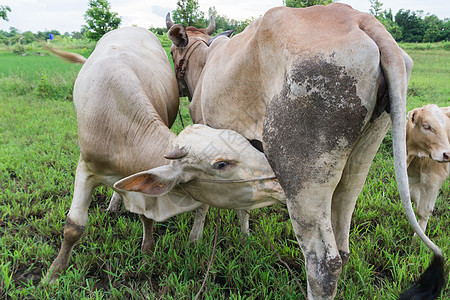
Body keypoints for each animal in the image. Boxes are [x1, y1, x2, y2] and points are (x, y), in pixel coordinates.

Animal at [45, 27, 284, 282]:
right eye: (221, 164)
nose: (280, 180)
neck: (119, 127)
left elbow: (146, 217)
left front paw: (147, 251)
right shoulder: (86, 168)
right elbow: (74, 226)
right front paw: (54, 273)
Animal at [164, 3, 442, 298]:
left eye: (172, 52)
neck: (206, 62)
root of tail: (358, 18)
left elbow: (202, 203)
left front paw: (195, 239)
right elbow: (243, 202)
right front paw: (245, 235)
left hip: (301, 177)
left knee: (324, 264)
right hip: (362, 157)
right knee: (343, 246)